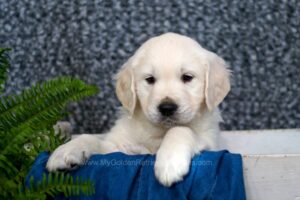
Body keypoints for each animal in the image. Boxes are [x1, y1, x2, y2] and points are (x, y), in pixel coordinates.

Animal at [46, 32, 230, 187]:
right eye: (150, 79)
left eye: (187, 77)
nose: (167, 108)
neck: (159, 133)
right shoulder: (117, 150)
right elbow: (92, 139)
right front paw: (65, 151)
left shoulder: (212, 145)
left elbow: (180, 129)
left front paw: (170, 161)